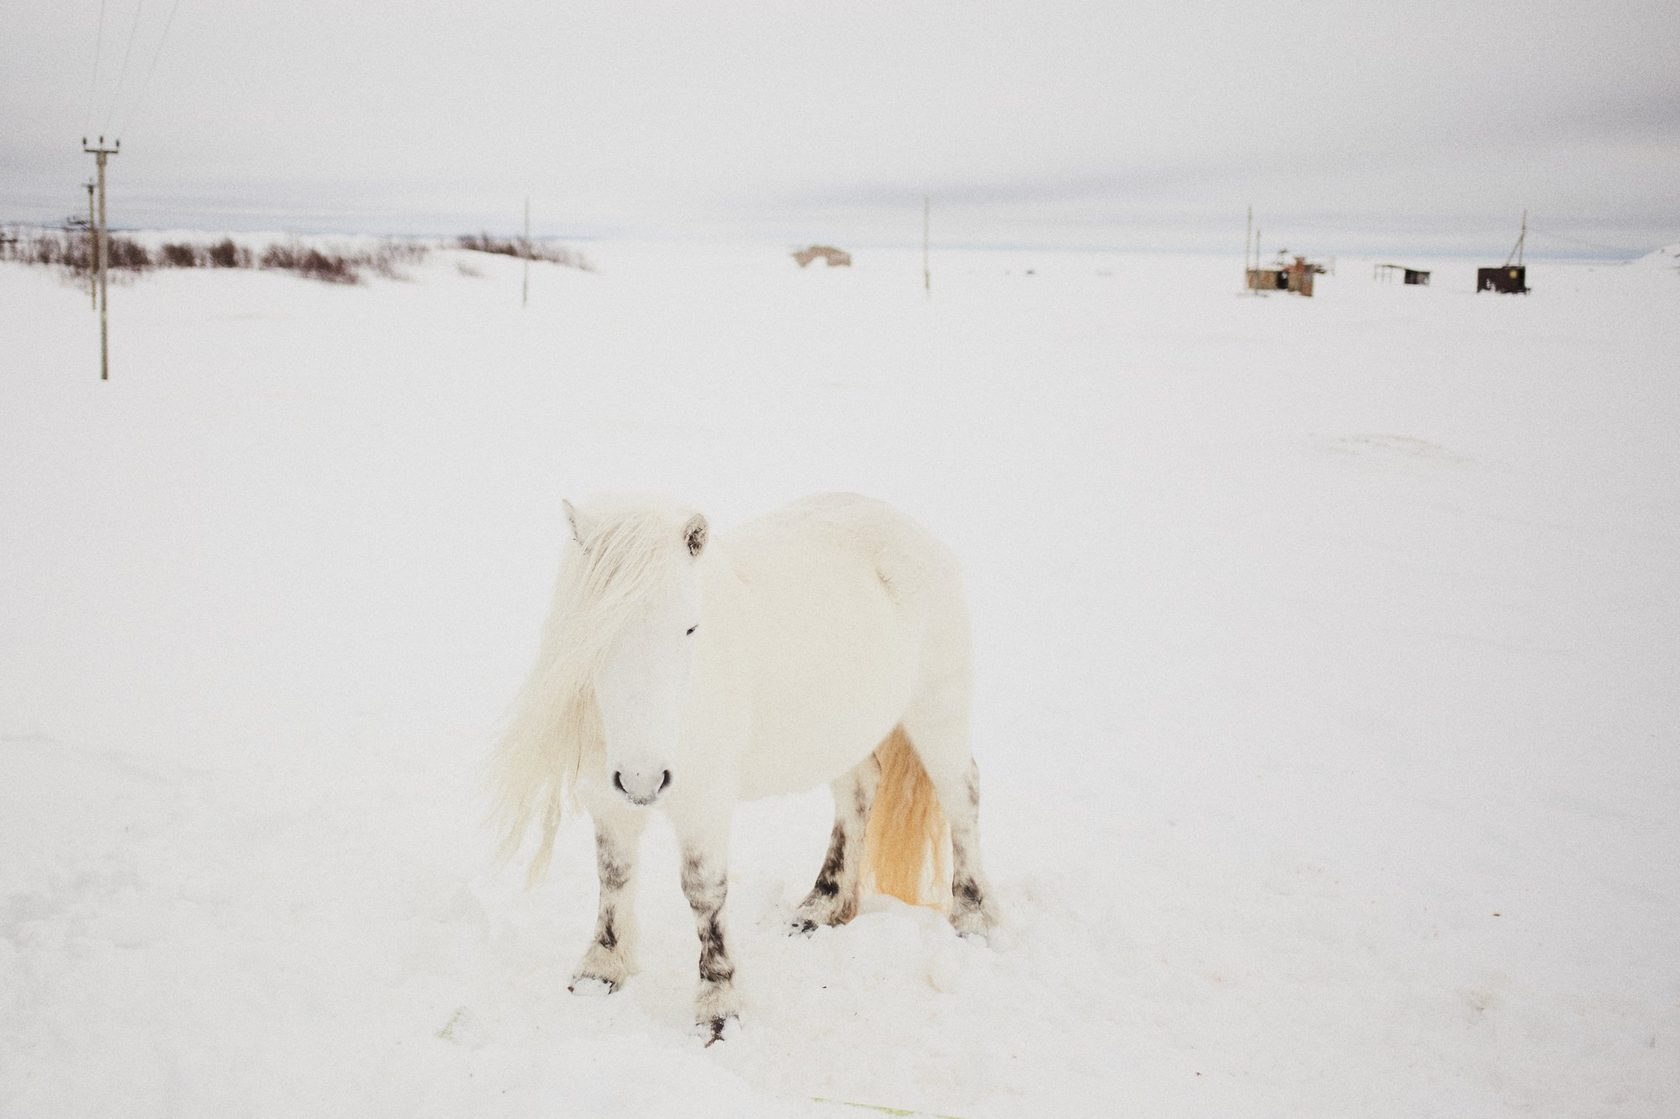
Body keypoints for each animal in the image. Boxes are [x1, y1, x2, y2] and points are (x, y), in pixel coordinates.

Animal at [497, 493, 994, 1034]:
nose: (643, 780)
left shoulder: (705, 803)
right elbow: (613, 876)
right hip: (843, 734)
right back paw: (822, 906)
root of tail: (913, 531)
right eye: (593, 634)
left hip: (937, 710)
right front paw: (600, 971)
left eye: (690, 627)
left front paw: (718, 1005)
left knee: (961, 795)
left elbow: (704, 893)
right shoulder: (608, 800)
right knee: (860, 792)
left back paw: (971, 917)